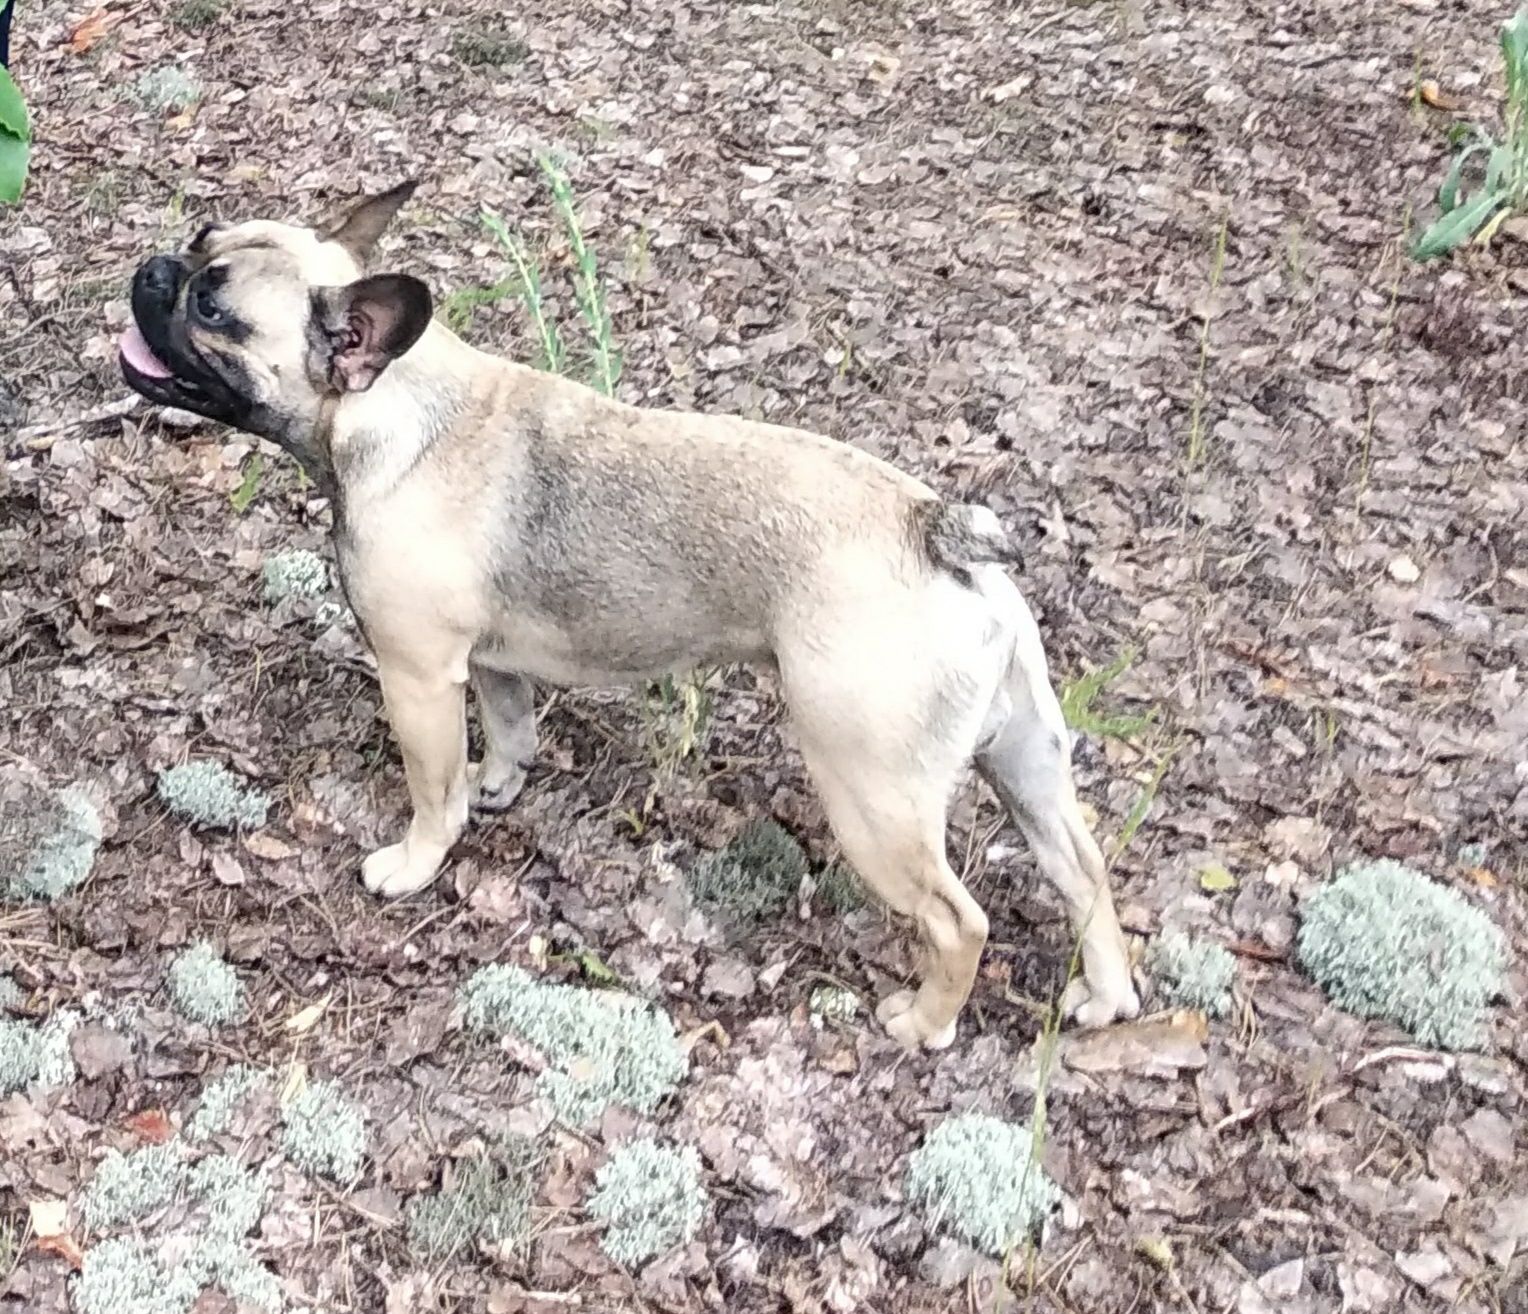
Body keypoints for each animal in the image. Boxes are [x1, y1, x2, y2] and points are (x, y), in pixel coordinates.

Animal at [125, 184, 1142, 1045]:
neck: (393, 409)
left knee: (958, 919)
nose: (155, 270)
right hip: (1025, 759)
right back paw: (1105, 994)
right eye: (200, 238)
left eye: (213, 310)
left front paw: (415, 861)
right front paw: (498, 784)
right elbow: (508, 728)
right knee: (1082, 869)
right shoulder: (490, 662)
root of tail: (937, 528)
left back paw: (925, 1022)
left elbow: (430, 787)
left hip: (871, 790)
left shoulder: (417, 676)